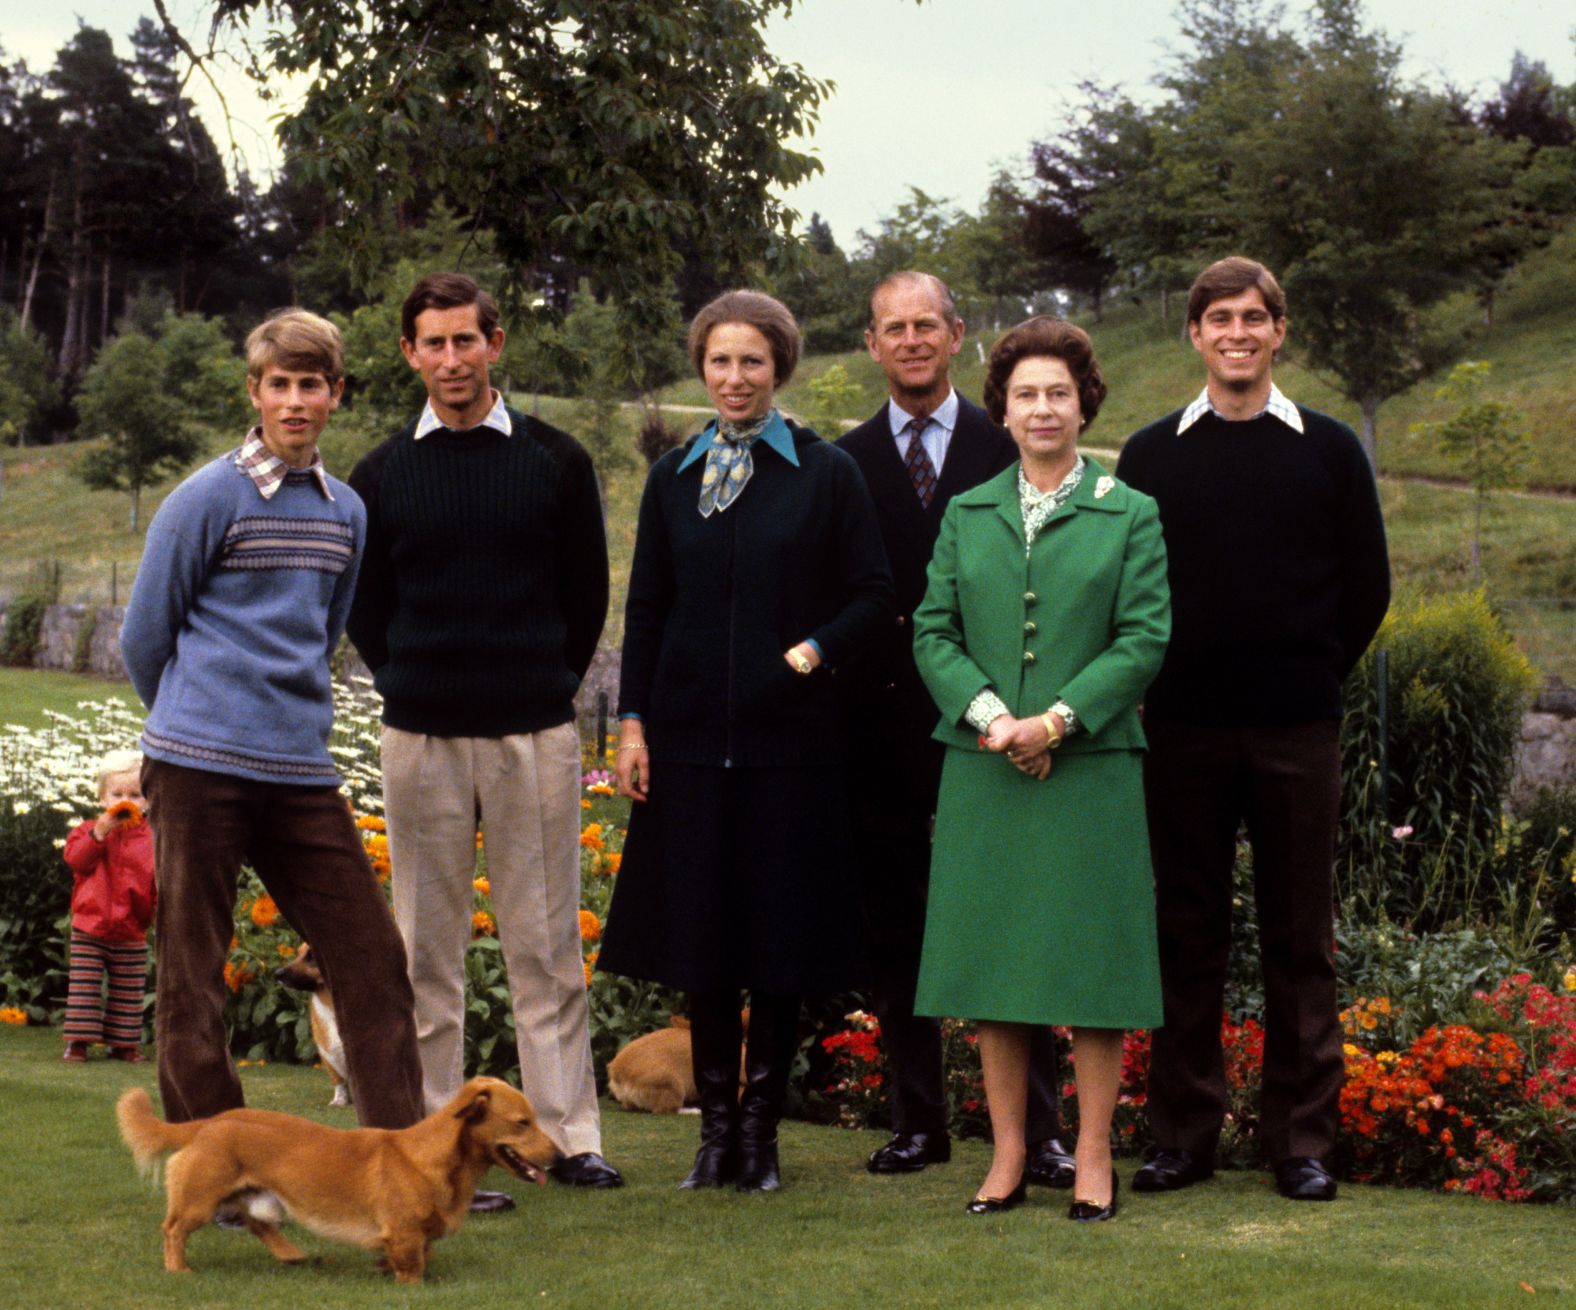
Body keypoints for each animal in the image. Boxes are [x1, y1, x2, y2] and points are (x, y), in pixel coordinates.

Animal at [116, 1078, 561, 1286]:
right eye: (523, 1123)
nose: (559, 1158)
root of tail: (210, 1122)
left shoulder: (418, 1236)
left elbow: (422, 1252)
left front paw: (383, 1267)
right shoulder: (403, 1233)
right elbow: (412, 1264)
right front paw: (410, 1284)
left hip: (258, 1197)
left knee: (257, 1224)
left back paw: (292, 1254)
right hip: (201, 1198)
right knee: (173, 1228)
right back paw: (178, 1269)